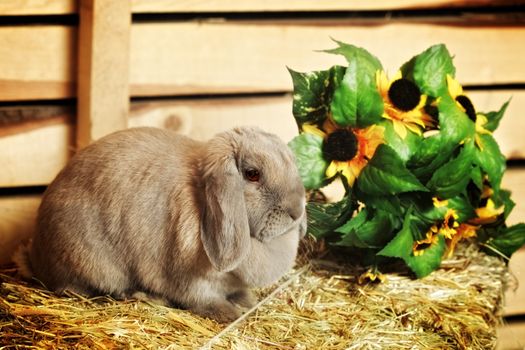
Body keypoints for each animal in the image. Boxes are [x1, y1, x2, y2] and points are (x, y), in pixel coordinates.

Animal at [22, 126, 304, 322]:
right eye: (252, 174)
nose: (297, 211)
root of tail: (36, 257)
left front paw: (247, 301)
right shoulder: (190, 281)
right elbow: (203, 299)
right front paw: (230, 314)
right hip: (90, 265)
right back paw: (143, 296)